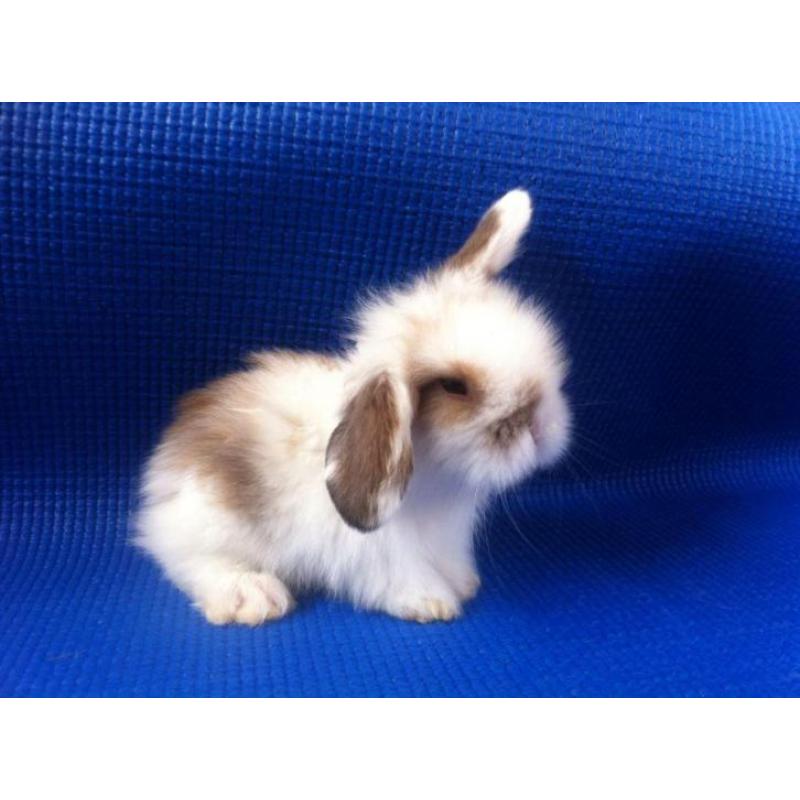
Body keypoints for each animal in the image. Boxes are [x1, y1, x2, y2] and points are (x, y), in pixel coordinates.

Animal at [135, 189, 571, 625]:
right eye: (454, 386)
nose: (536, 424)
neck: (437, 479)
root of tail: (169, 459)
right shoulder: (379, 548)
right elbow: (399, 575)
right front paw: (432, 603)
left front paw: (464, 583)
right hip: (212, 523)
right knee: (186, 557)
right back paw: (251, 595)